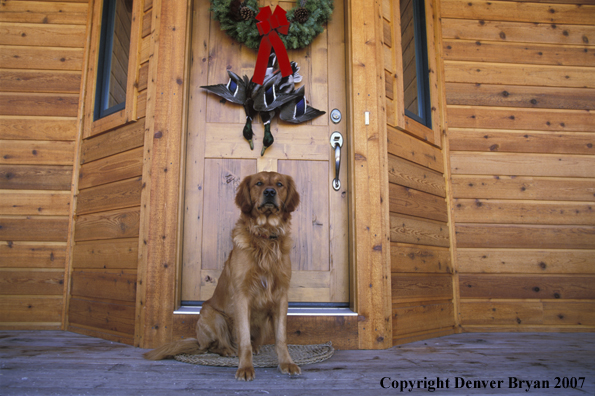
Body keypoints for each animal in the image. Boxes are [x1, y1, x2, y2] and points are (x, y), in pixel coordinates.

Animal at [144, 171, 300, 380]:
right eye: (259, 183)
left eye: (280, 184)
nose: (269, 192)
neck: (265, 236)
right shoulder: (242, 296)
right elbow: (244, 339)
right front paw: (245, 367)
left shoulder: (281, 296)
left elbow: (281, 338)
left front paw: (286, 363)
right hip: (212, 314)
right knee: (216, 345)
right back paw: (228, 351)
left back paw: (255, 348)